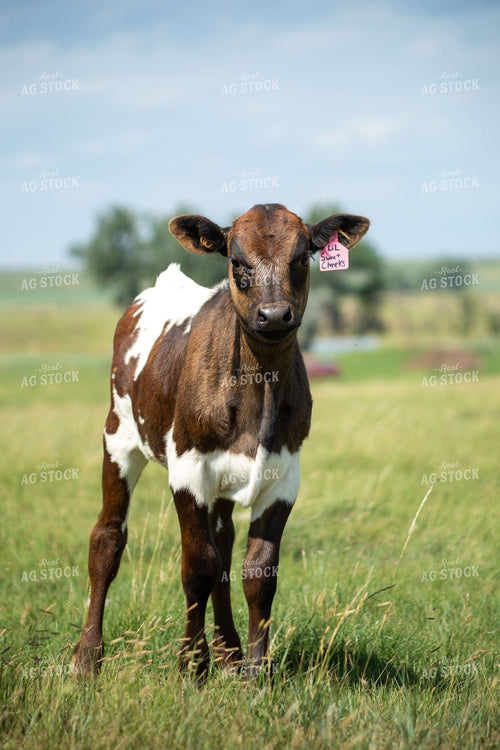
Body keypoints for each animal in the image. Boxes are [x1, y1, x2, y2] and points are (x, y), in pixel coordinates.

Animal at [73, 203, 369, 680]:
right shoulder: (187, 468)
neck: (258, 389)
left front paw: (256, 672)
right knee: (107, 538)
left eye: (302, 258)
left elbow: (257, 571)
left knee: (224, 543)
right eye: (235, 261)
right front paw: (191, 667)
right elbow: (198, 566)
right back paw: (87, 657)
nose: (273, 315)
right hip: (118, 436)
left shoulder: (284, 475)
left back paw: (229, 652)